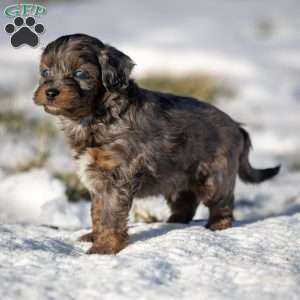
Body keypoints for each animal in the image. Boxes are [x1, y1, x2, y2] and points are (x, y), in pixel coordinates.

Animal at [34, 34, 280, 255]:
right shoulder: (98, 179)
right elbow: (98, 211)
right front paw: (95, 236)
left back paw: (217, 225)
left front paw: (105, 247)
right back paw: (174, 222)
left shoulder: (117, 177)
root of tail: (237, 125)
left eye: (80, 73)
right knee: (186, 202)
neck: (95, 116)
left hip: (214, 175)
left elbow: (110, 214)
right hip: (178, 177)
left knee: (222, 202)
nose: (50, 92)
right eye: (45, 72)